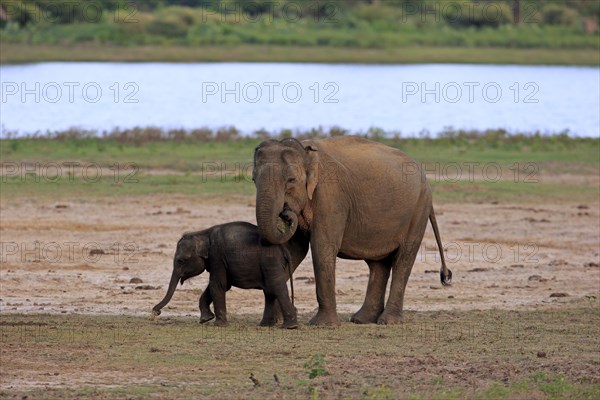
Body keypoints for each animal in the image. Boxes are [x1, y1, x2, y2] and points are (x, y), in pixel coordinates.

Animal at [152, 219, 310, 328]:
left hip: (270, 262)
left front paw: (218, 325)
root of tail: (283, 249)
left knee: (276, 287)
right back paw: (266, 325)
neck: (203, 233)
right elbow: (221, 285)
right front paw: (205, 319)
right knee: (269, 290)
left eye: (180, 261)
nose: (155, 313)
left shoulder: (217, 255)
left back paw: (289, 327)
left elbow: (217, 284)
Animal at [251, 137, 452, 324]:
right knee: (378, 264)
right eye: (253, 180)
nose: (286, 214)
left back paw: (387, 321)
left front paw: (322, 325)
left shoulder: (331, 196)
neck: (305, 150)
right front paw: (273, 322)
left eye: (291, 180)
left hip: (418, 210)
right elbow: (295, 250)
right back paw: (362, 320)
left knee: (403, 259)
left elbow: (322, 246)